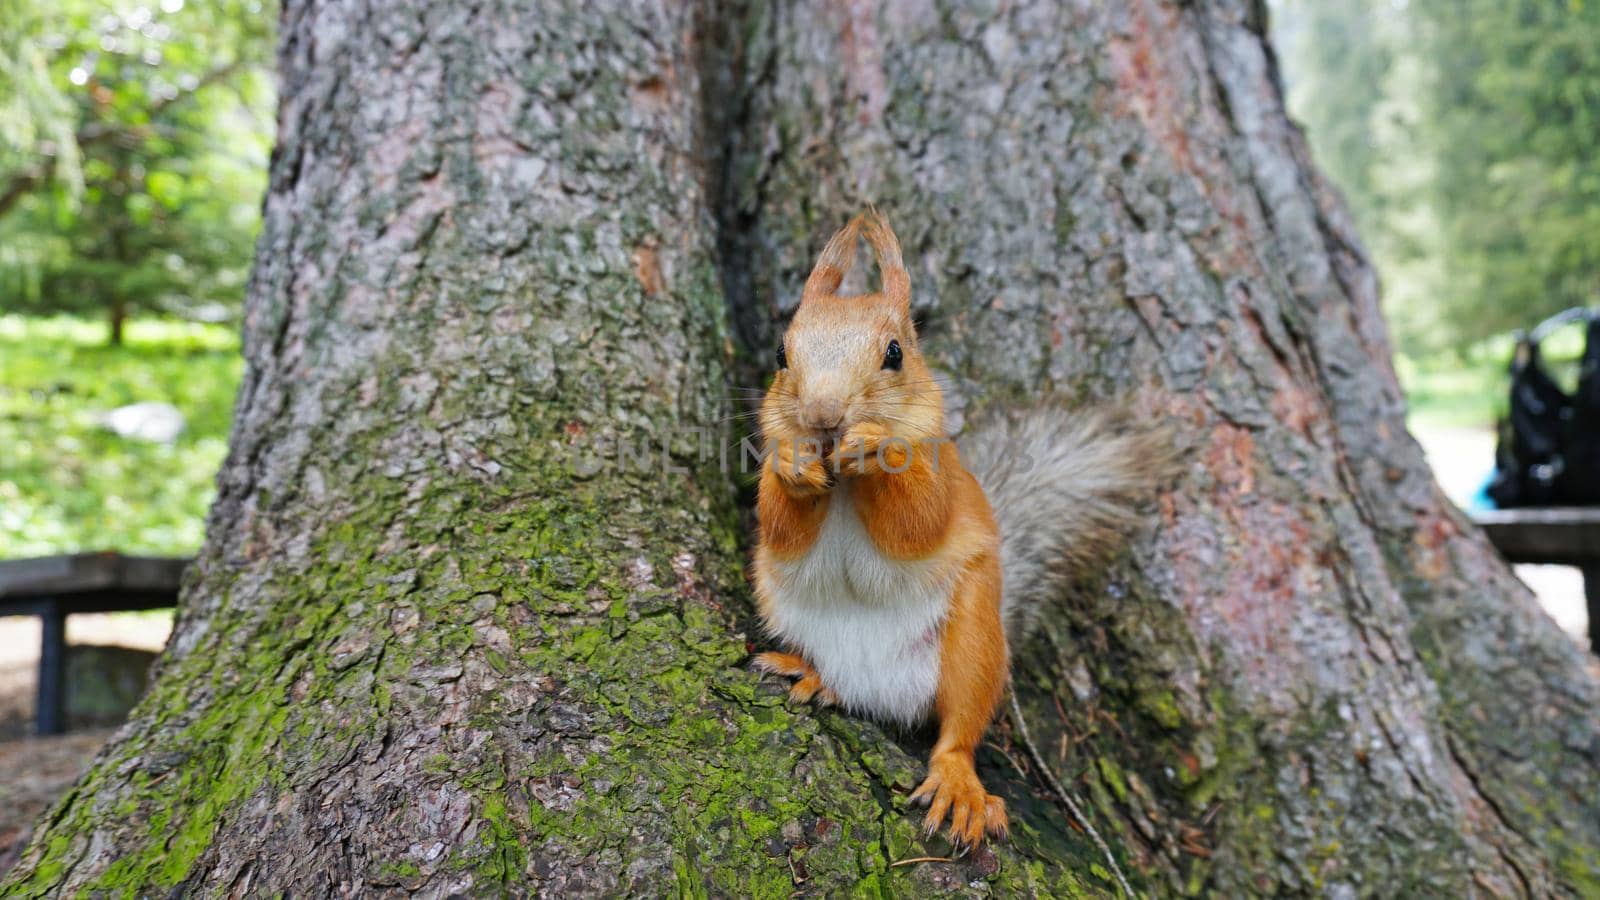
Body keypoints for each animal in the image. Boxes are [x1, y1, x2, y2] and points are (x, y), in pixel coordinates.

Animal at [748, 208, 1164, 839]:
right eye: (779, 353)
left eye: (895, 353)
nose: (823, 416)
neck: (843, 483)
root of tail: (876, 685)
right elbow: (779, 527)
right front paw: (794, 462)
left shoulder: (944, 480)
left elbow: (918, 521)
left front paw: (877, 447)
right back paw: (814, 675)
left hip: (972, 643)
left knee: (959, 728)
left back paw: (958, 783)